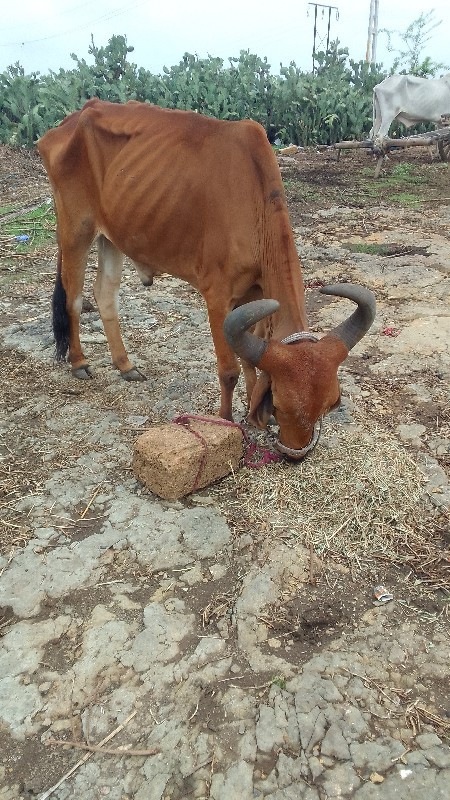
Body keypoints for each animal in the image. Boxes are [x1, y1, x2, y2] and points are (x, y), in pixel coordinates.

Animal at [37, 99, 376, 460]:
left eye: (330, 404)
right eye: (282, 405)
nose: (295, 456)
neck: (253, 203)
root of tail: (73, 119)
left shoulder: (255, 295)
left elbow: (250, 357)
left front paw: (253, 410)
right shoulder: (217, 296)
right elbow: (229, 370)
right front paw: (226, 420)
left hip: (112, 236)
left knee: (104, 295)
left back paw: (125, 365)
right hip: (76, 230)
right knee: (73, 298)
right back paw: (79, 362)